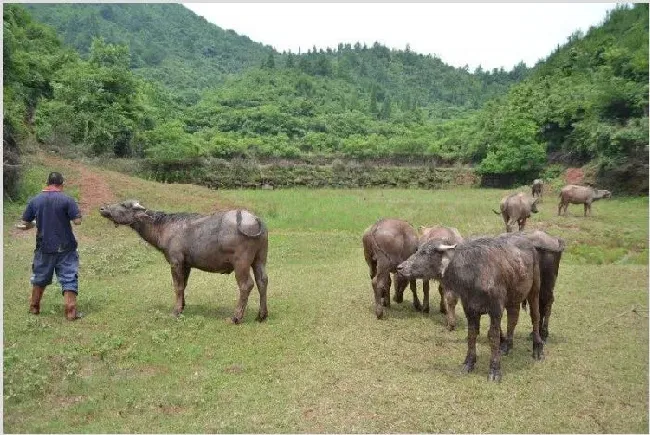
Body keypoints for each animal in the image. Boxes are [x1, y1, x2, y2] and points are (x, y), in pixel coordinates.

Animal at [97, 201, 268, 324]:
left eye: (124, 205)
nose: (103, 208)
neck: (164, 227)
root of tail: (255, 219)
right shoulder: (187, 264)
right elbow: (184, 285)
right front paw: (182, 306)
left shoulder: (176, 261)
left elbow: (177, 286)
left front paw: (176, 311)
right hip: (260, 259)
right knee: (262, 281)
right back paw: (262, 315)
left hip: (241, 263)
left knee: (246, 285)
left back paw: (236, 317)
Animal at [394, 237, 548, 384]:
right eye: (418, 250)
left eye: (425, 252)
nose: (400, 267)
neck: (474, 273)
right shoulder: (470, 309)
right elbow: (472, 334)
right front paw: (468, 363)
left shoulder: (496, 310)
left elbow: (493, 336)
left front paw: (494, 370)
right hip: (513, 297)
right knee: (513, 318)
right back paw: (507, 347)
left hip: (534, 289)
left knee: (535, 316)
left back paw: (538, 349)